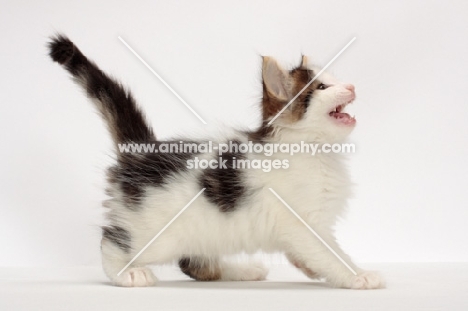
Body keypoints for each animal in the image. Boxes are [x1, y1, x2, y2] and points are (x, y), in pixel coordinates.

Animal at [48, 34, 384, 290]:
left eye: (335, 79)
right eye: (322, 88)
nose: (351, 86)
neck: (315, 150)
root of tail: (140, 150)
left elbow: (313, 252)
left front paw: (311, 267)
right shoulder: (302, 221)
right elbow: (330, 253)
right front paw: (357, 275)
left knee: (194, 264)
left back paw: (243, 271)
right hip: (153, 231)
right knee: (112, 240)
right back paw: (127, 273)